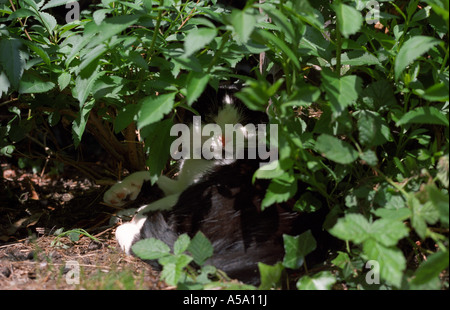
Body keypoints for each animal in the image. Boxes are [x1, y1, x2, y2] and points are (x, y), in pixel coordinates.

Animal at [104, 86, 330, 284]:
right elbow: (152, 176)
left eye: (241, 124)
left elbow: (161, 203)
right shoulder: (183, 181)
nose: (223, 139)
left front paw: (136, 210)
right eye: (211, 119)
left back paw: (128, 226)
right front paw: (119, 191)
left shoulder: (193, 190)